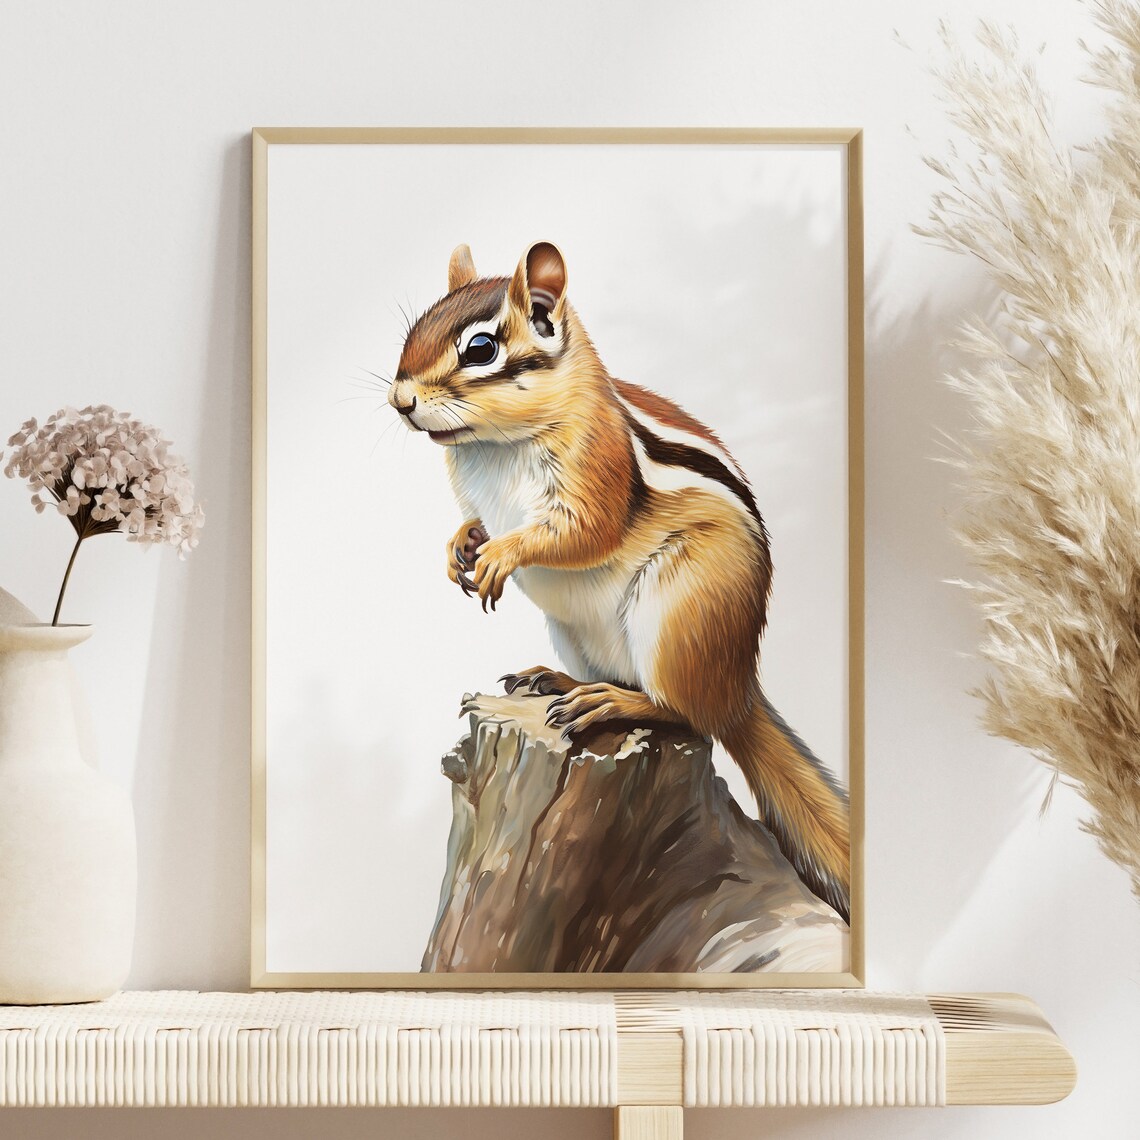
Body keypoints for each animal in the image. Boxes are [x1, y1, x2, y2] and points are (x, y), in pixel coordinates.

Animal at [387, 240, 850, 924]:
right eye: (414, 331)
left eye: (481, 348)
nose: (400, 400)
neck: (493, 446)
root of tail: (738, 685)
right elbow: (474, 520)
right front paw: (461, 546)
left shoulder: (597, 464)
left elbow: (583, 533)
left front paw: (502, 554)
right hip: (573, 630)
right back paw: (560, 682)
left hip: (679, 611)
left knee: (683, 713)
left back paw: (616, 702)